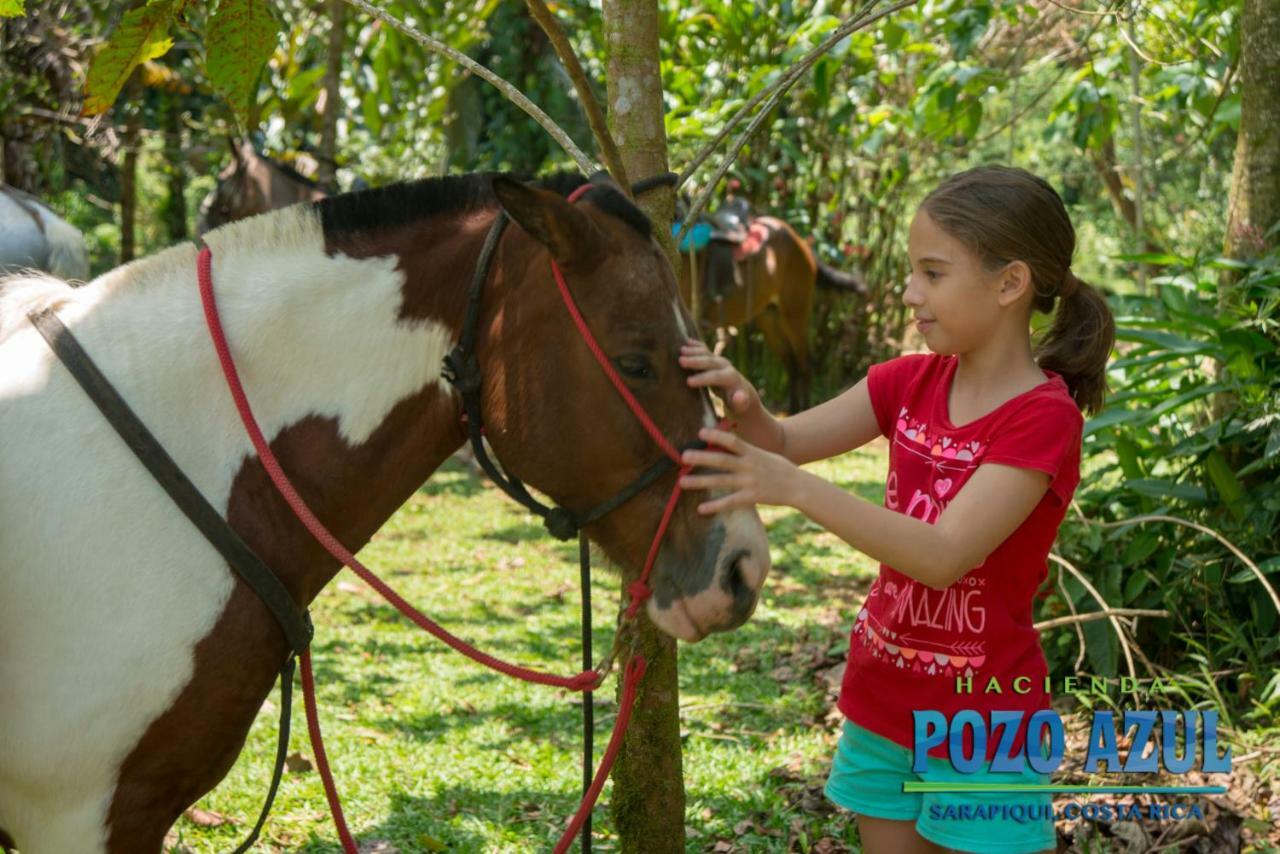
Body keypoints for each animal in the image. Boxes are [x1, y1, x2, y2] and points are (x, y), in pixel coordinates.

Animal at [675, 215, 865, 412]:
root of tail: (799, 240)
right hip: (769, 318)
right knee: (791, 363)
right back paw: (793, 409)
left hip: (796, 310)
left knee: (804, 363)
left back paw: (804, 408)